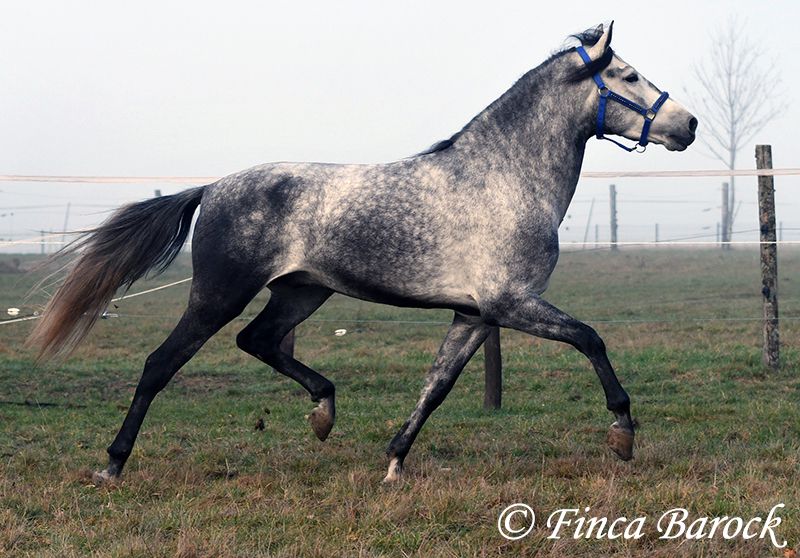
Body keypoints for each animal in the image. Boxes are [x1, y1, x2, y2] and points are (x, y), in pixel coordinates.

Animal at [29, 22, 697, 483]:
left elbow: (437, 385)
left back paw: (324, 413)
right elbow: (591, 340)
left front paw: (394, 462)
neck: (503, 179)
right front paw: (623, 436)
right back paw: (112, 465)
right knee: (160, 364)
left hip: (303, 290)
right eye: (629, 76)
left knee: (259, 341)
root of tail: (213, 188)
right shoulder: (512, 303)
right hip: (219, 293)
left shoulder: (475, 313)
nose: (687, 125)